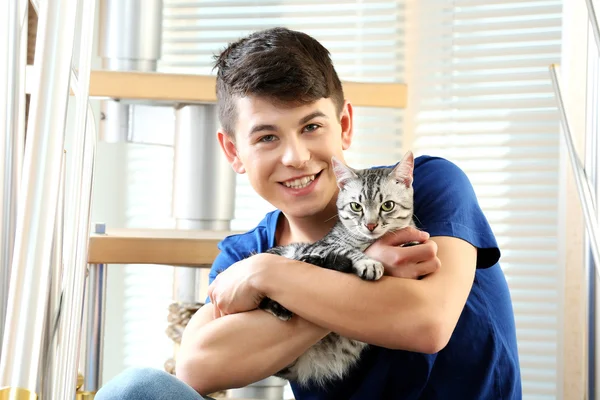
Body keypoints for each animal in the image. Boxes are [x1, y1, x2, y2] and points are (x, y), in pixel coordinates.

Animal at [258, 151, 418, 388]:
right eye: (356, 206)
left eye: (388, 205)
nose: (370, 225)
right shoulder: (325, 244)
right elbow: (346, 249)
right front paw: (368, 262)